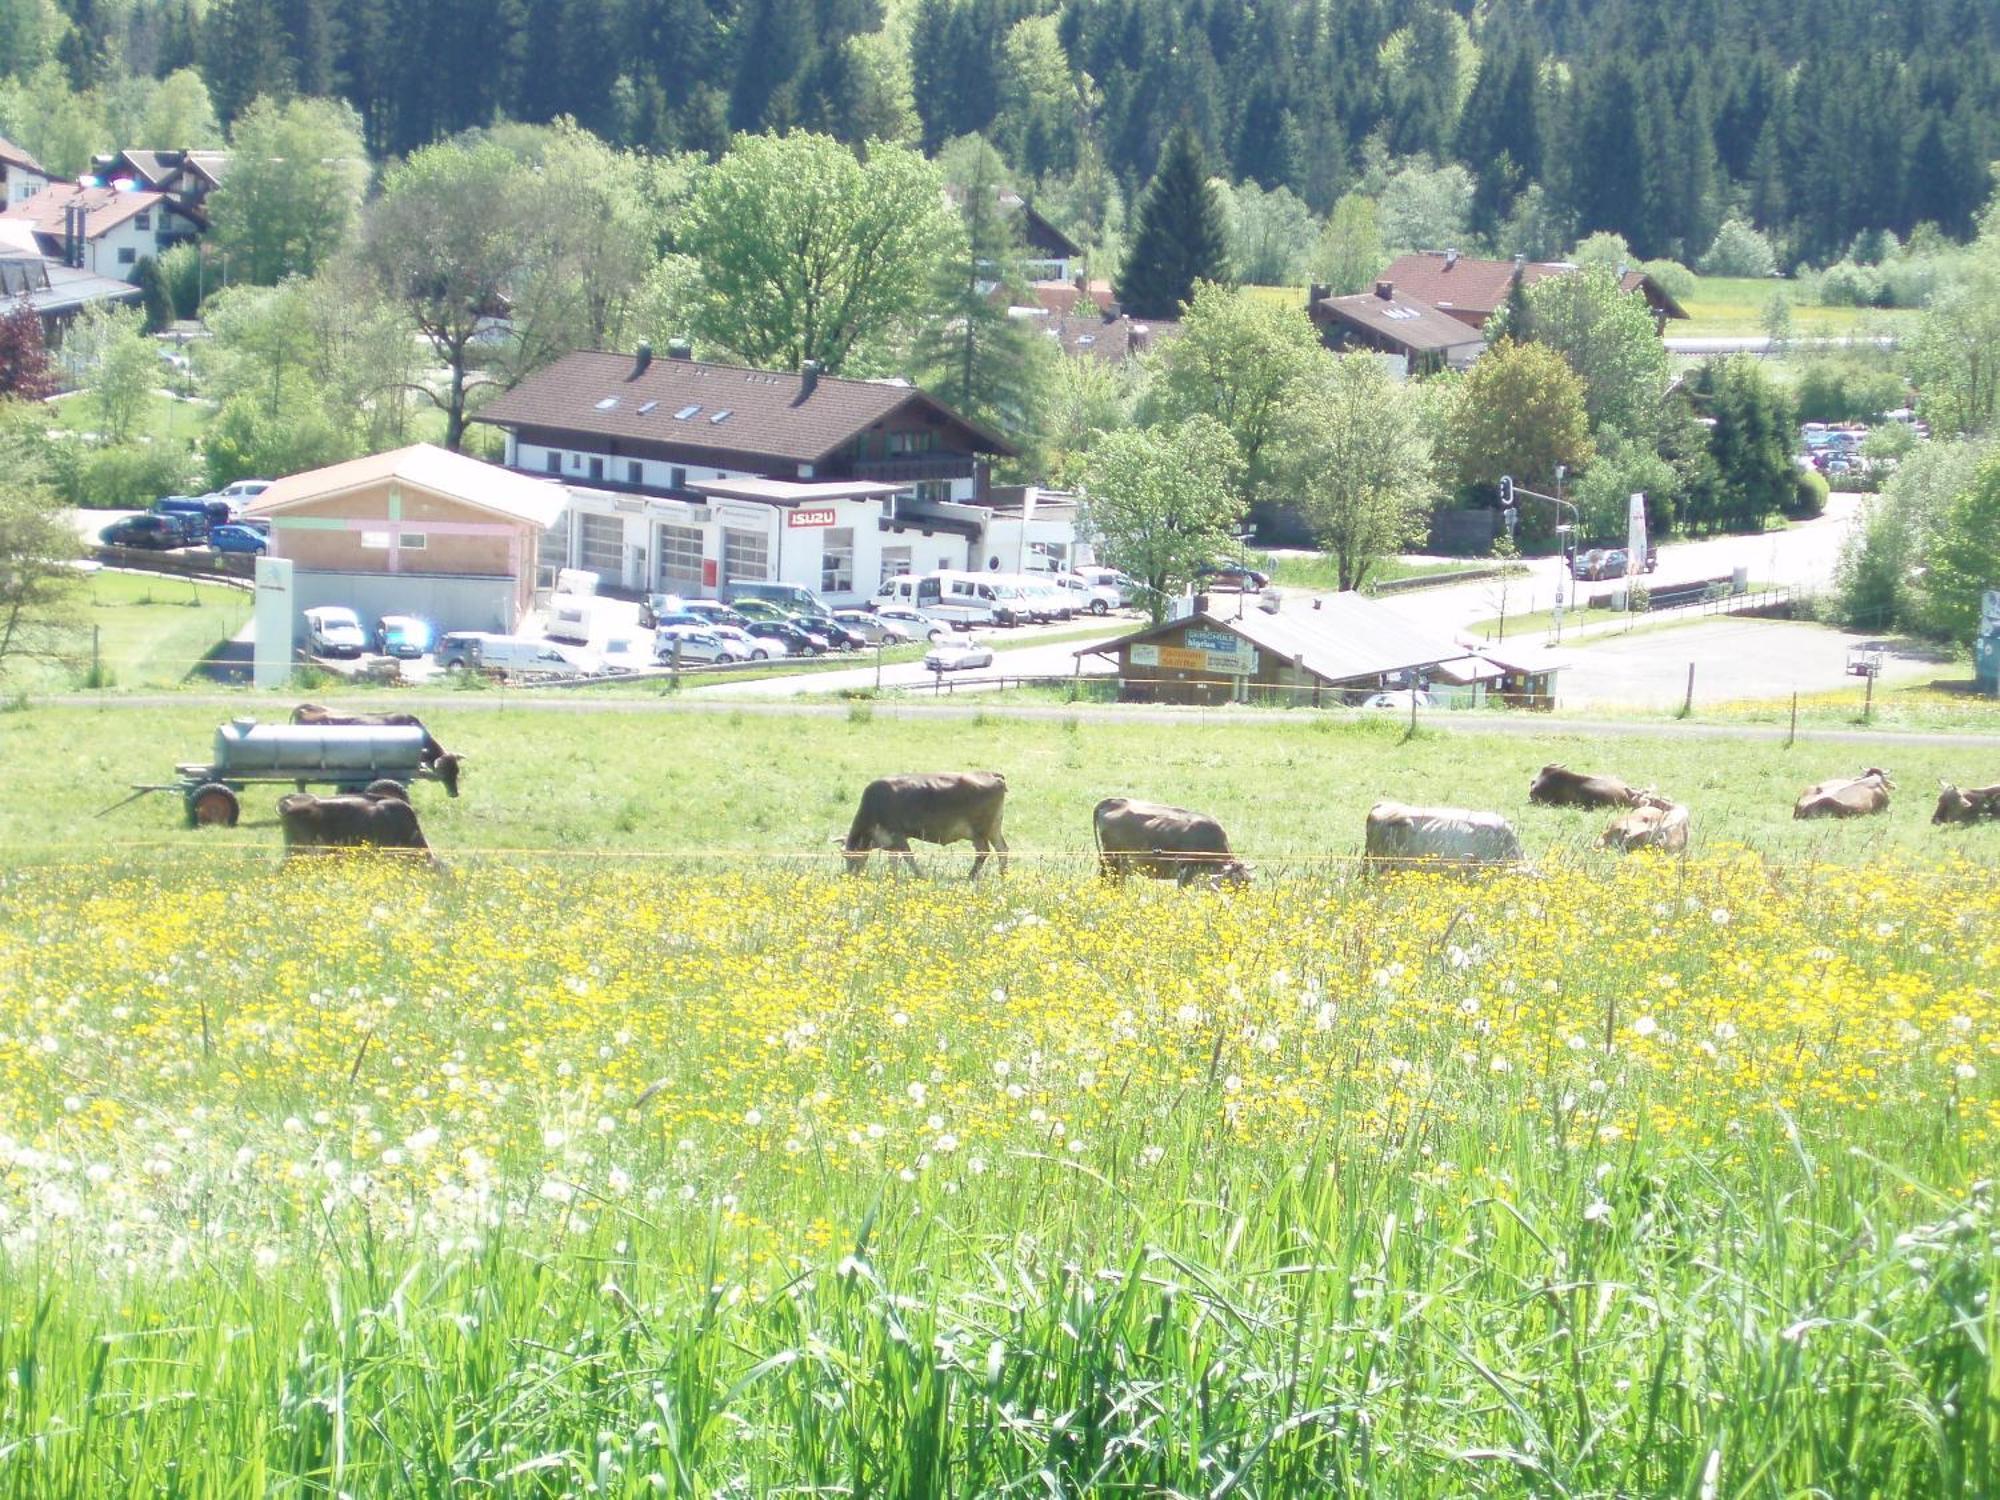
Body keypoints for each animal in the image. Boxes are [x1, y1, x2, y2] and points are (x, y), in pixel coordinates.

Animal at [836, 776, 1008, 880]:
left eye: (851, 857)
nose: (848, 876)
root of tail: (993, 775)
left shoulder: (897, 834)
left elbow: (909, 858)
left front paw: (921, 876)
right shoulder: (891, 842)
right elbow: (893, 860)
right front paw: (892, 878)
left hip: (979, 831)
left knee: (983, 851)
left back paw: (970, 876)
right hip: (993, 828)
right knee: (1002, 849)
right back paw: (1002, 875)